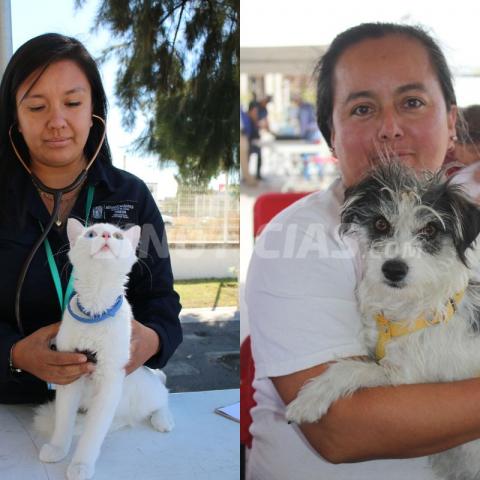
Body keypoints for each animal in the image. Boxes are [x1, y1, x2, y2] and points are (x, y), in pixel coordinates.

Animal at [36, 220, 174, 480]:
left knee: (164, 396)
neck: (96, 310)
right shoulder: (70, 374)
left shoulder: (110, 381)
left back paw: (163, 419)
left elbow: (93, 434)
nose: (107, 236)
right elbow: (64, 419)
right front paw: (59, 447)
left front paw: (81, 465)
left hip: (147, 394)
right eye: (91, 234)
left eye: (119, 235)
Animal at [284, 162, 480, 480]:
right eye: (380, 224)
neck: (408, 309)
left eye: (430, 229)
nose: (393, 269)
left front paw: (310, 399)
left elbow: (350, 367)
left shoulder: (407, 375)